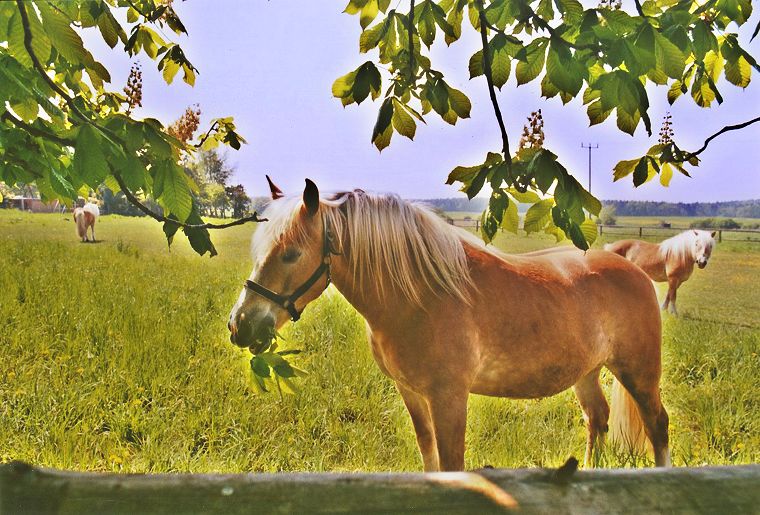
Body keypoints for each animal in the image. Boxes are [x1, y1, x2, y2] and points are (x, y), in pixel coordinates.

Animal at [228, 178, 670, 471]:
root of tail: (630, 266)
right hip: (587, 372)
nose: (240, 325)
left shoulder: (449, 397)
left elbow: (452, 463)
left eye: (290, 254)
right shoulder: (412, 394)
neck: (420, 297)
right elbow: (431, 459)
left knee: (658, 425)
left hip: (638, 372)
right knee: (597, 419)